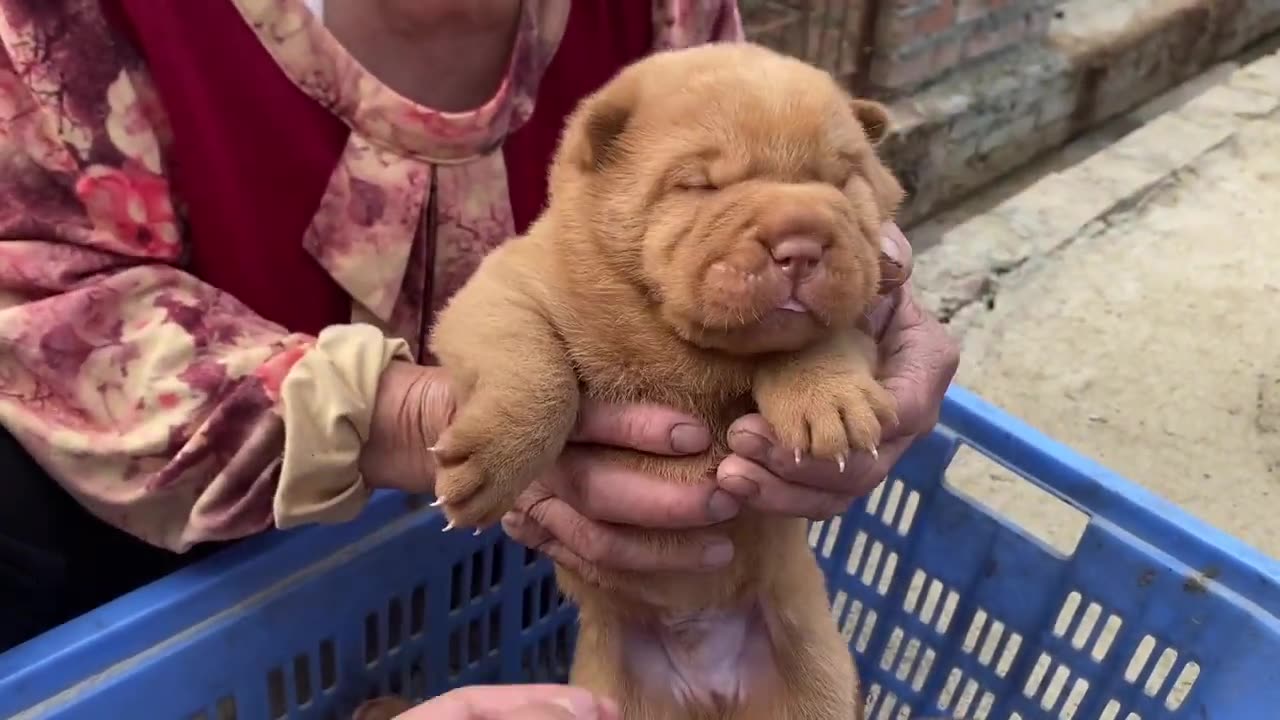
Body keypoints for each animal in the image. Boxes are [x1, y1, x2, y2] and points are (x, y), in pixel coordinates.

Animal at [427, 40, 901, 717]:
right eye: (699, 184)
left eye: (842, 181)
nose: (802, 239)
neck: (675, 340)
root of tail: (708, 683)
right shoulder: (501, 288)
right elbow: (533, 364)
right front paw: (488, 462)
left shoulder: (864, 315)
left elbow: (819, 341)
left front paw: (829, 404)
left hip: (817, 680)